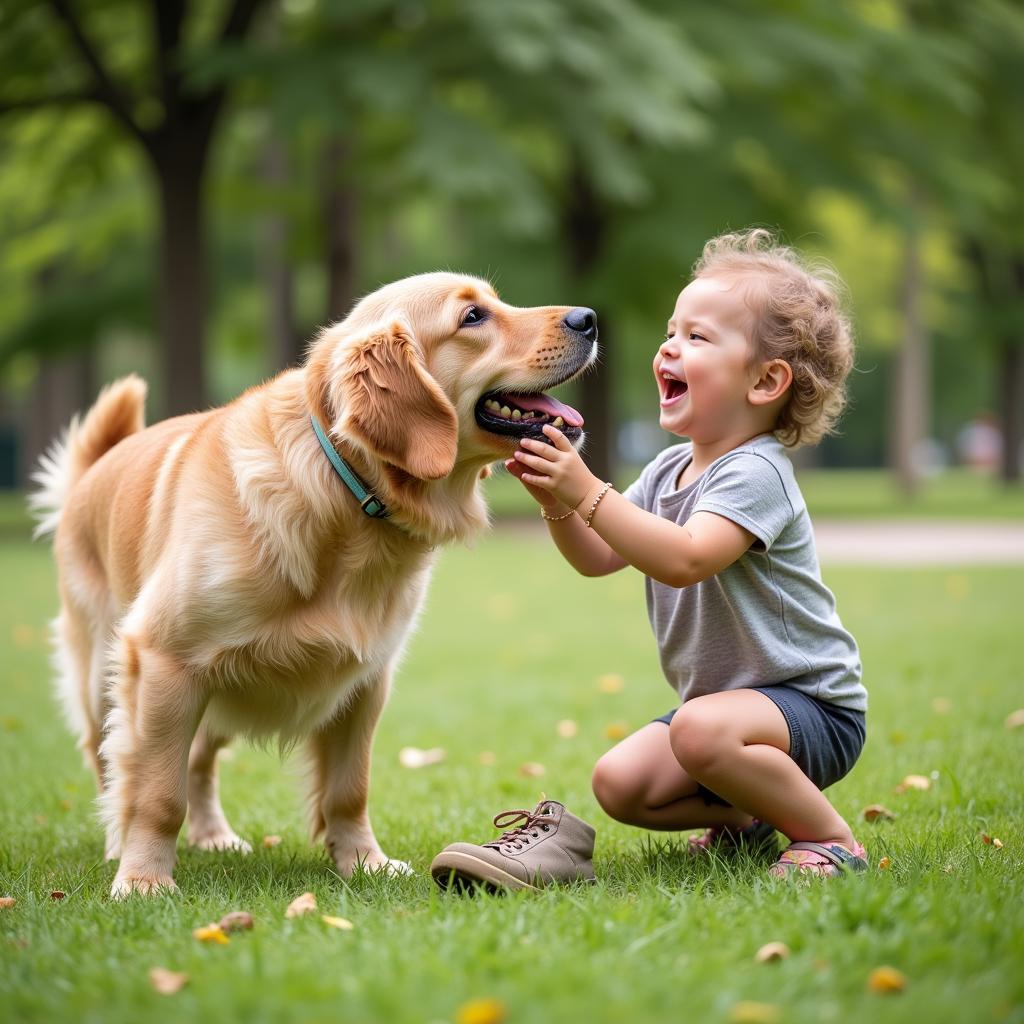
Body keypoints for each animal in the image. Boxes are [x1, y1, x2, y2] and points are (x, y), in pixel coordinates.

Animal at [29, 274, 598, 897]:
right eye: (473, 316)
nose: (589, 318)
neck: (342, 488)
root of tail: (96, 467)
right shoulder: (162, 661)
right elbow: (156, 791)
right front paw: (144, 880)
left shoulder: (365, 680)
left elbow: (349, 789)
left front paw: (364, 862)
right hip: (106, 679)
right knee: (110, 762)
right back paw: (121, 843)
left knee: (199, 763)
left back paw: (213, 836)